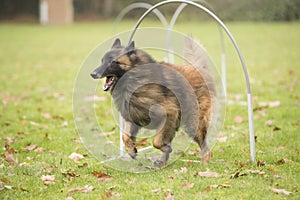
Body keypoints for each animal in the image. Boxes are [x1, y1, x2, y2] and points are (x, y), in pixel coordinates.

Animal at [90, 37, 214, 166]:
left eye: (113, 62)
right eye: (102, 61)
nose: (93, 74)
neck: (135, 81)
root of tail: (197, 70)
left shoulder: (169, 114)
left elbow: (156, 141)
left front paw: (165, 148)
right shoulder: (133, 117)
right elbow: (125, 135)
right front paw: (131, 150)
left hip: (193, 124)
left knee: (206, 147)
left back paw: (204, 163)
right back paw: (162, 162)